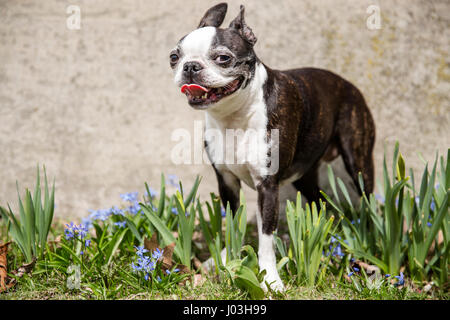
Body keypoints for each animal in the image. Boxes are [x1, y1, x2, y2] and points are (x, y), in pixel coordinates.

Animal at [171, 3, 374, 292]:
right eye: (174, 57)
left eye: (223, 58)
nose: (190, 66)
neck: (233, 117)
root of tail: (348, 84)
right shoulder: (227, 181)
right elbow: (232, 224)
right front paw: (225, 261)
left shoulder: (267, 185)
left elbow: (266, 238)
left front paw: (270, 279)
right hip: (305, 176)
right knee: (322, 203)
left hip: (358, 161)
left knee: (368, 201)